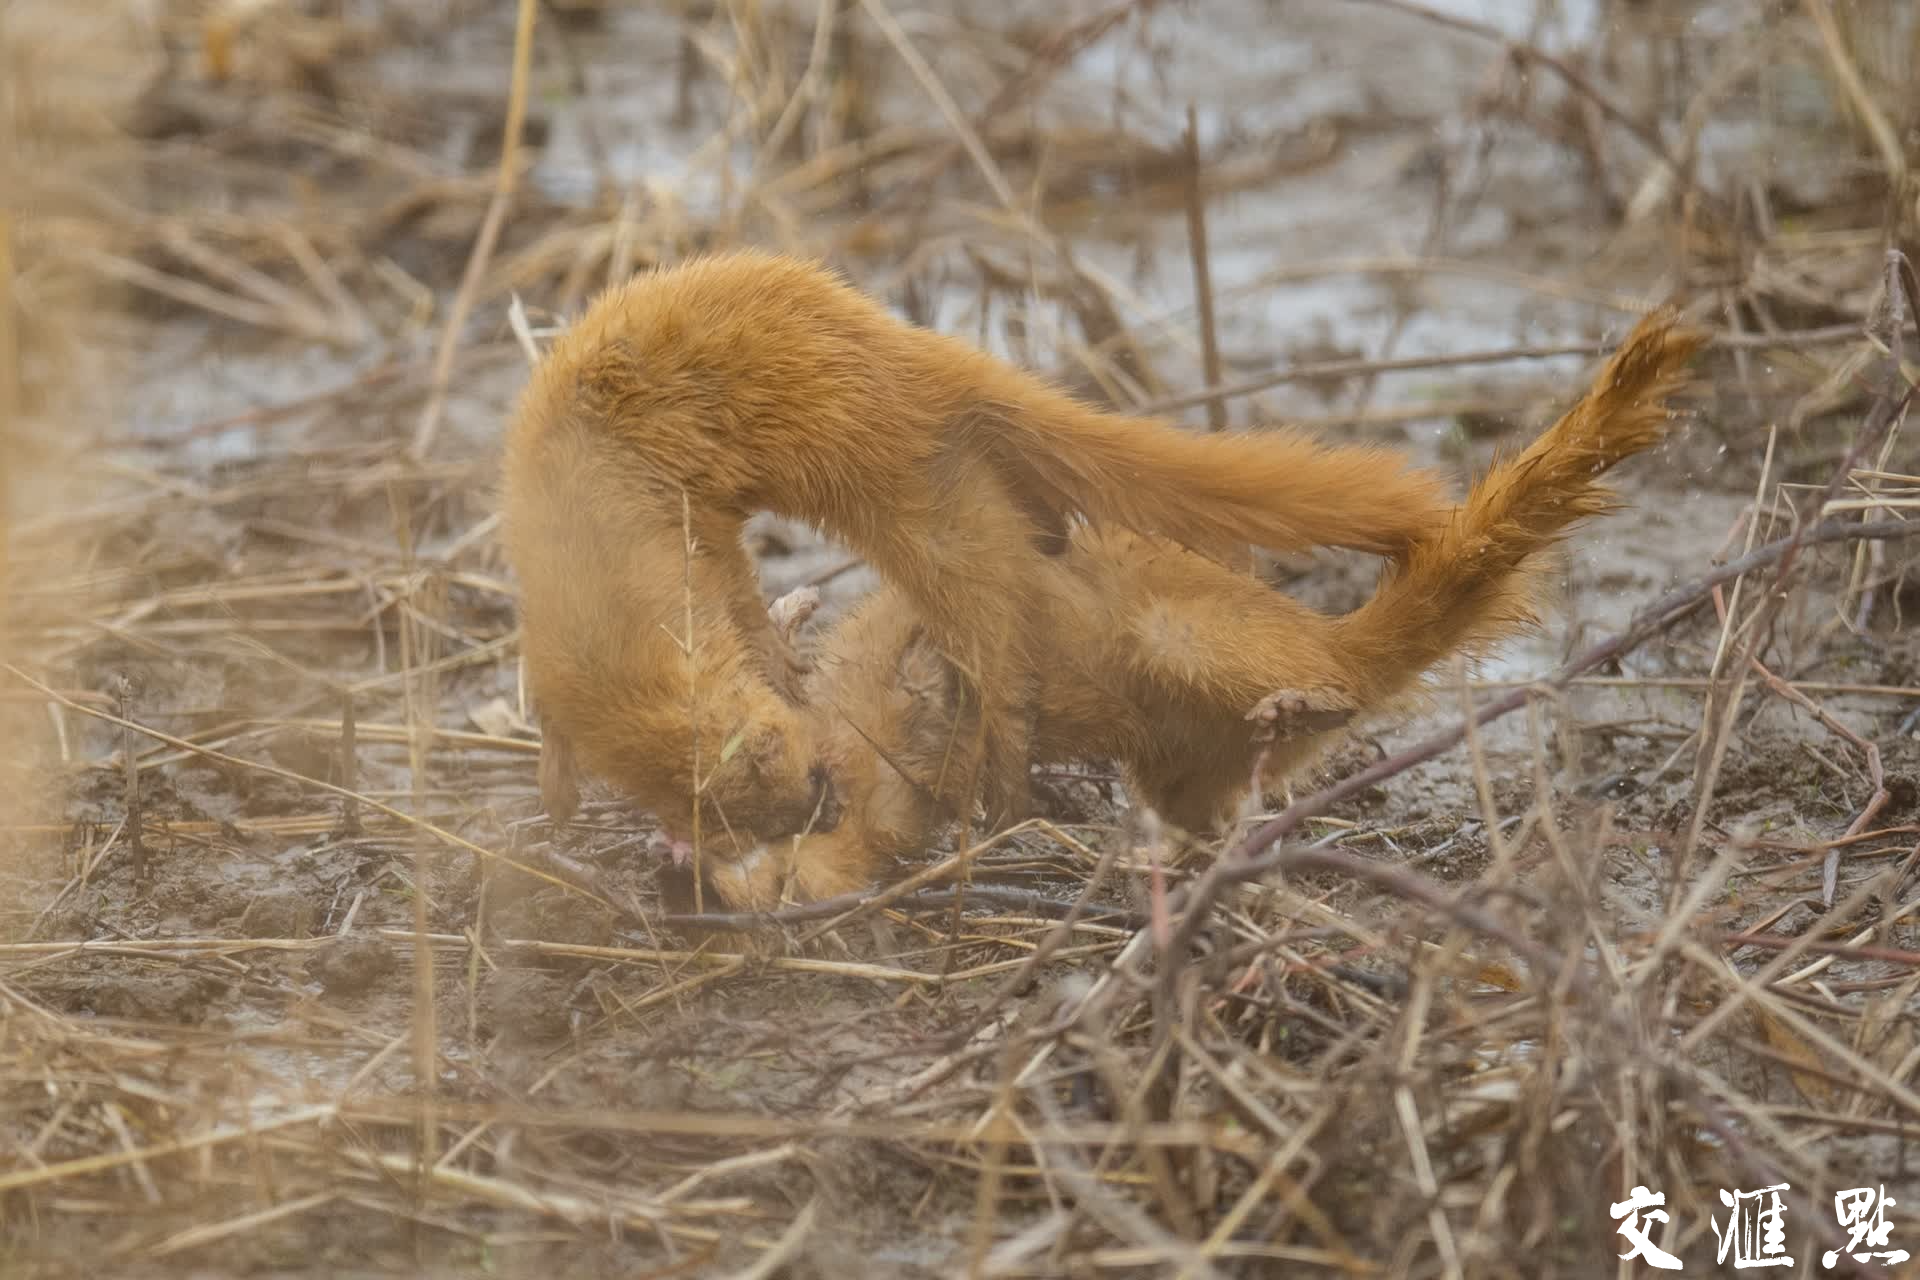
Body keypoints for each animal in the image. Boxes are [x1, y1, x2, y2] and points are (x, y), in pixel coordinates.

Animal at [503, 249, 1443, 852]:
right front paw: (556, 794)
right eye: (740, 822)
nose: (822, 810)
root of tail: (927, 360)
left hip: (921, 502)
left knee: (998, 640)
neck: (580, 530)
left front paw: (783, 659)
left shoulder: (693, 526)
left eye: (791, 769)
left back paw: (1004, 795)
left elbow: (741, 596)